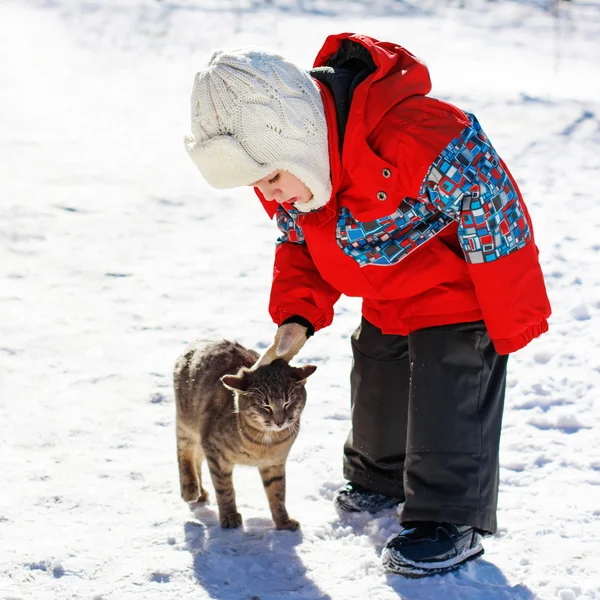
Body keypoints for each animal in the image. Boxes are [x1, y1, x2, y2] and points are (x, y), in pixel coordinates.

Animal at [172, 340, 316, 532]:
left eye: (288, 403)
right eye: (265, 406)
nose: (280, 422)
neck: (265, 441)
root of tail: (202, 341)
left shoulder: (274, 464)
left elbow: (278, 493)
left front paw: (283, 521)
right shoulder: (214, 451)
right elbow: (224, 489)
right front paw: (229, 515)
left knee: (196, 458)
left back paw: (200, 492)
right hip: (187, 422)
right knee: (185, 453)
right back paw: (190, 489)